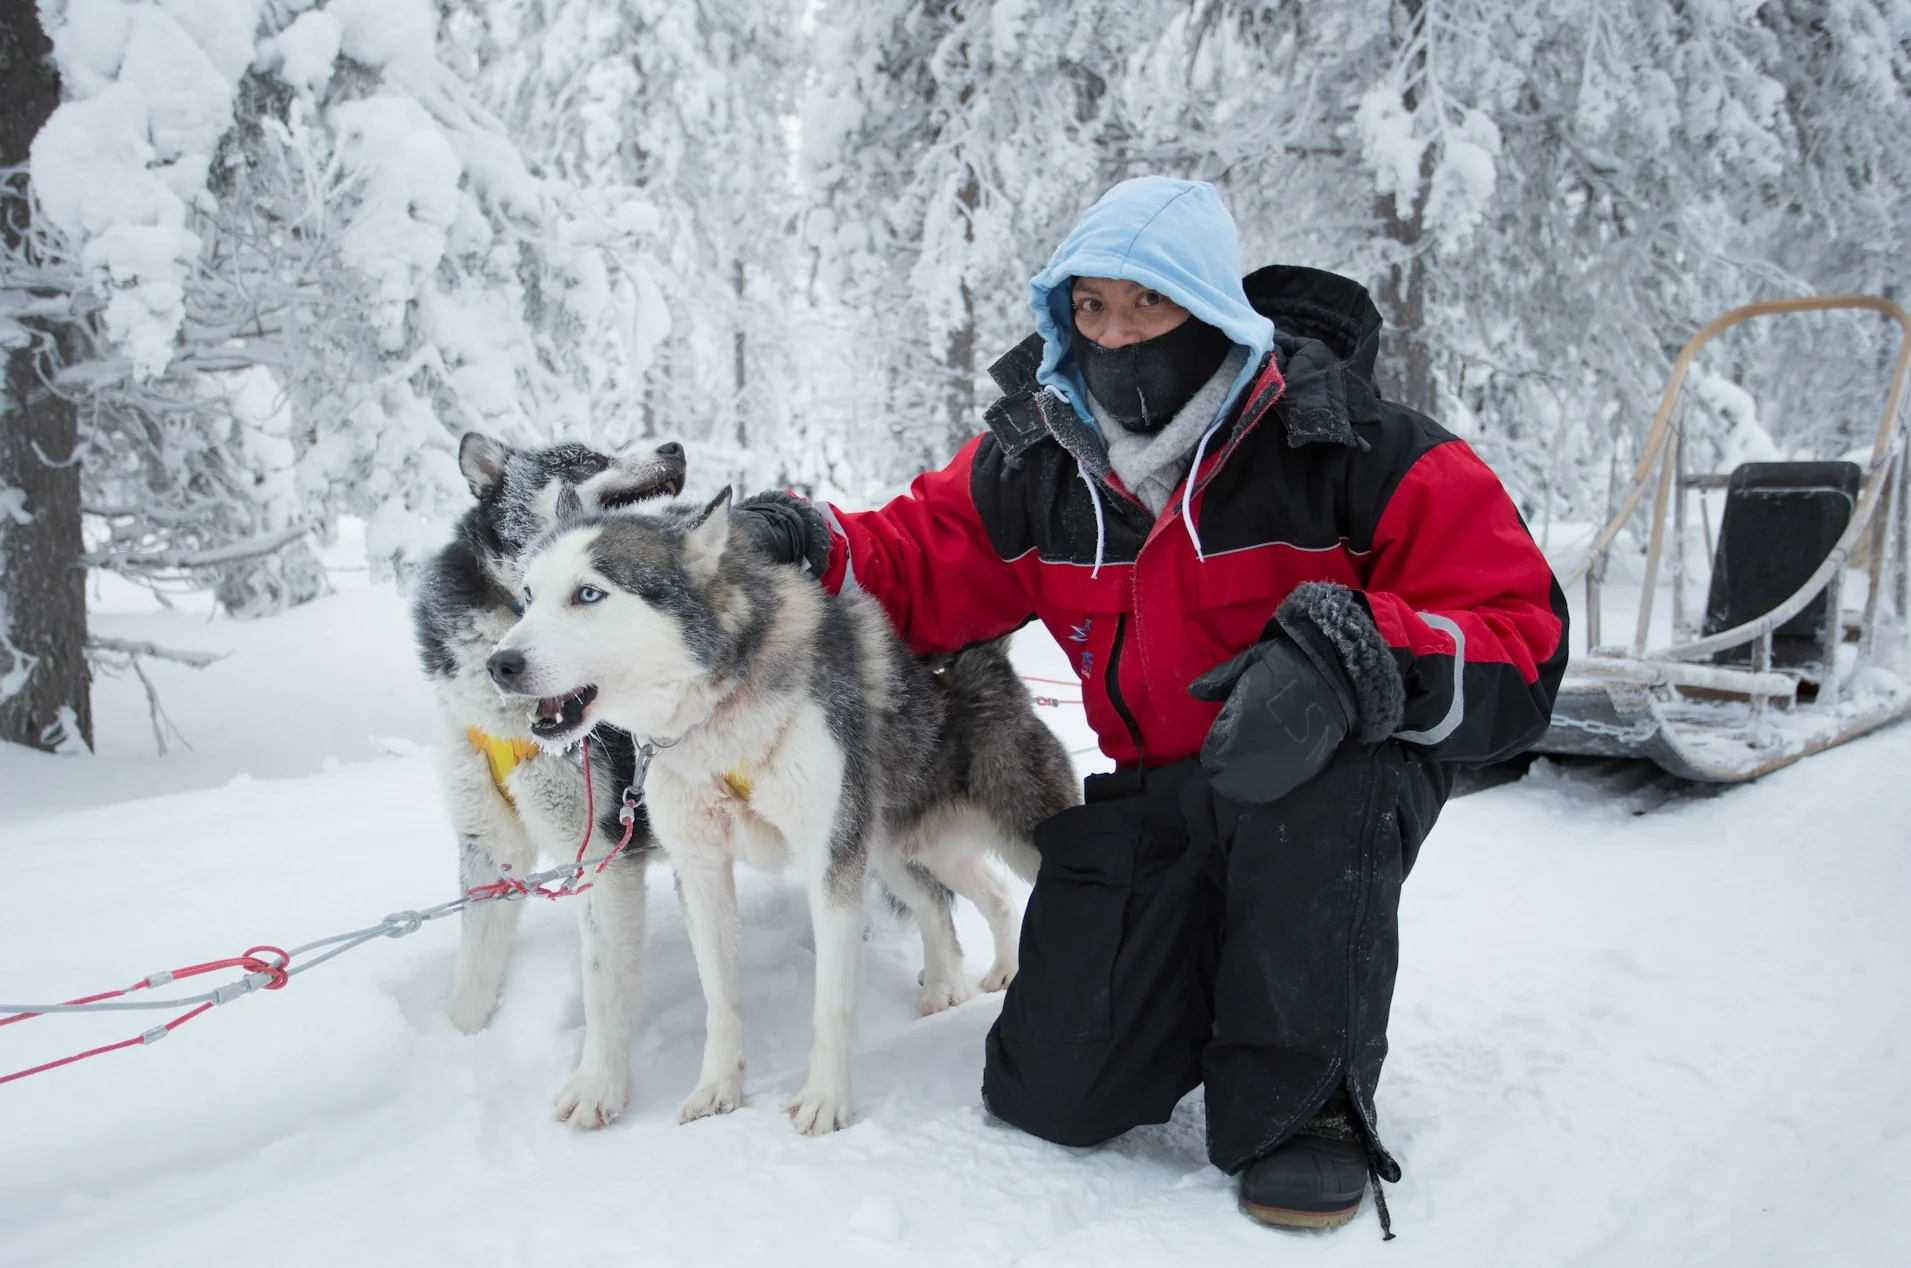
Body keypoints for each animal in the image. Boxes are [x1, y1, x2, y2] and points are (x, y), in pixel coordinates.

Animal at [410, 431, 687, 1122]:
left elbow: (602, 984)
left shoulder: (603, 853)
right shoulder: (486, 850)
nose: (674, 444)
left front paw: (598, 1088)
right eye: (586, 458)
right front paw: (463, 1047)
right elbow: (473, 974)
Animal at [485, 488, 1085, 1130]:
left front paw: (826, 1099)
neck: (721, 718)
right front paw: (718, 1088)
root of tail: (989, 661)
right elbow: (721, 997)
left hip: (1002, 834)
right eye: (527, 596)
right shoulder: (702, 870)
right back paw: (979, 978)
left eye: (589, 594)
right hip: (898, 847)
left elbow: (833, 1003)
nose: (500, 664)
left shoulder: (829, 862)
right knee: (977, 897)